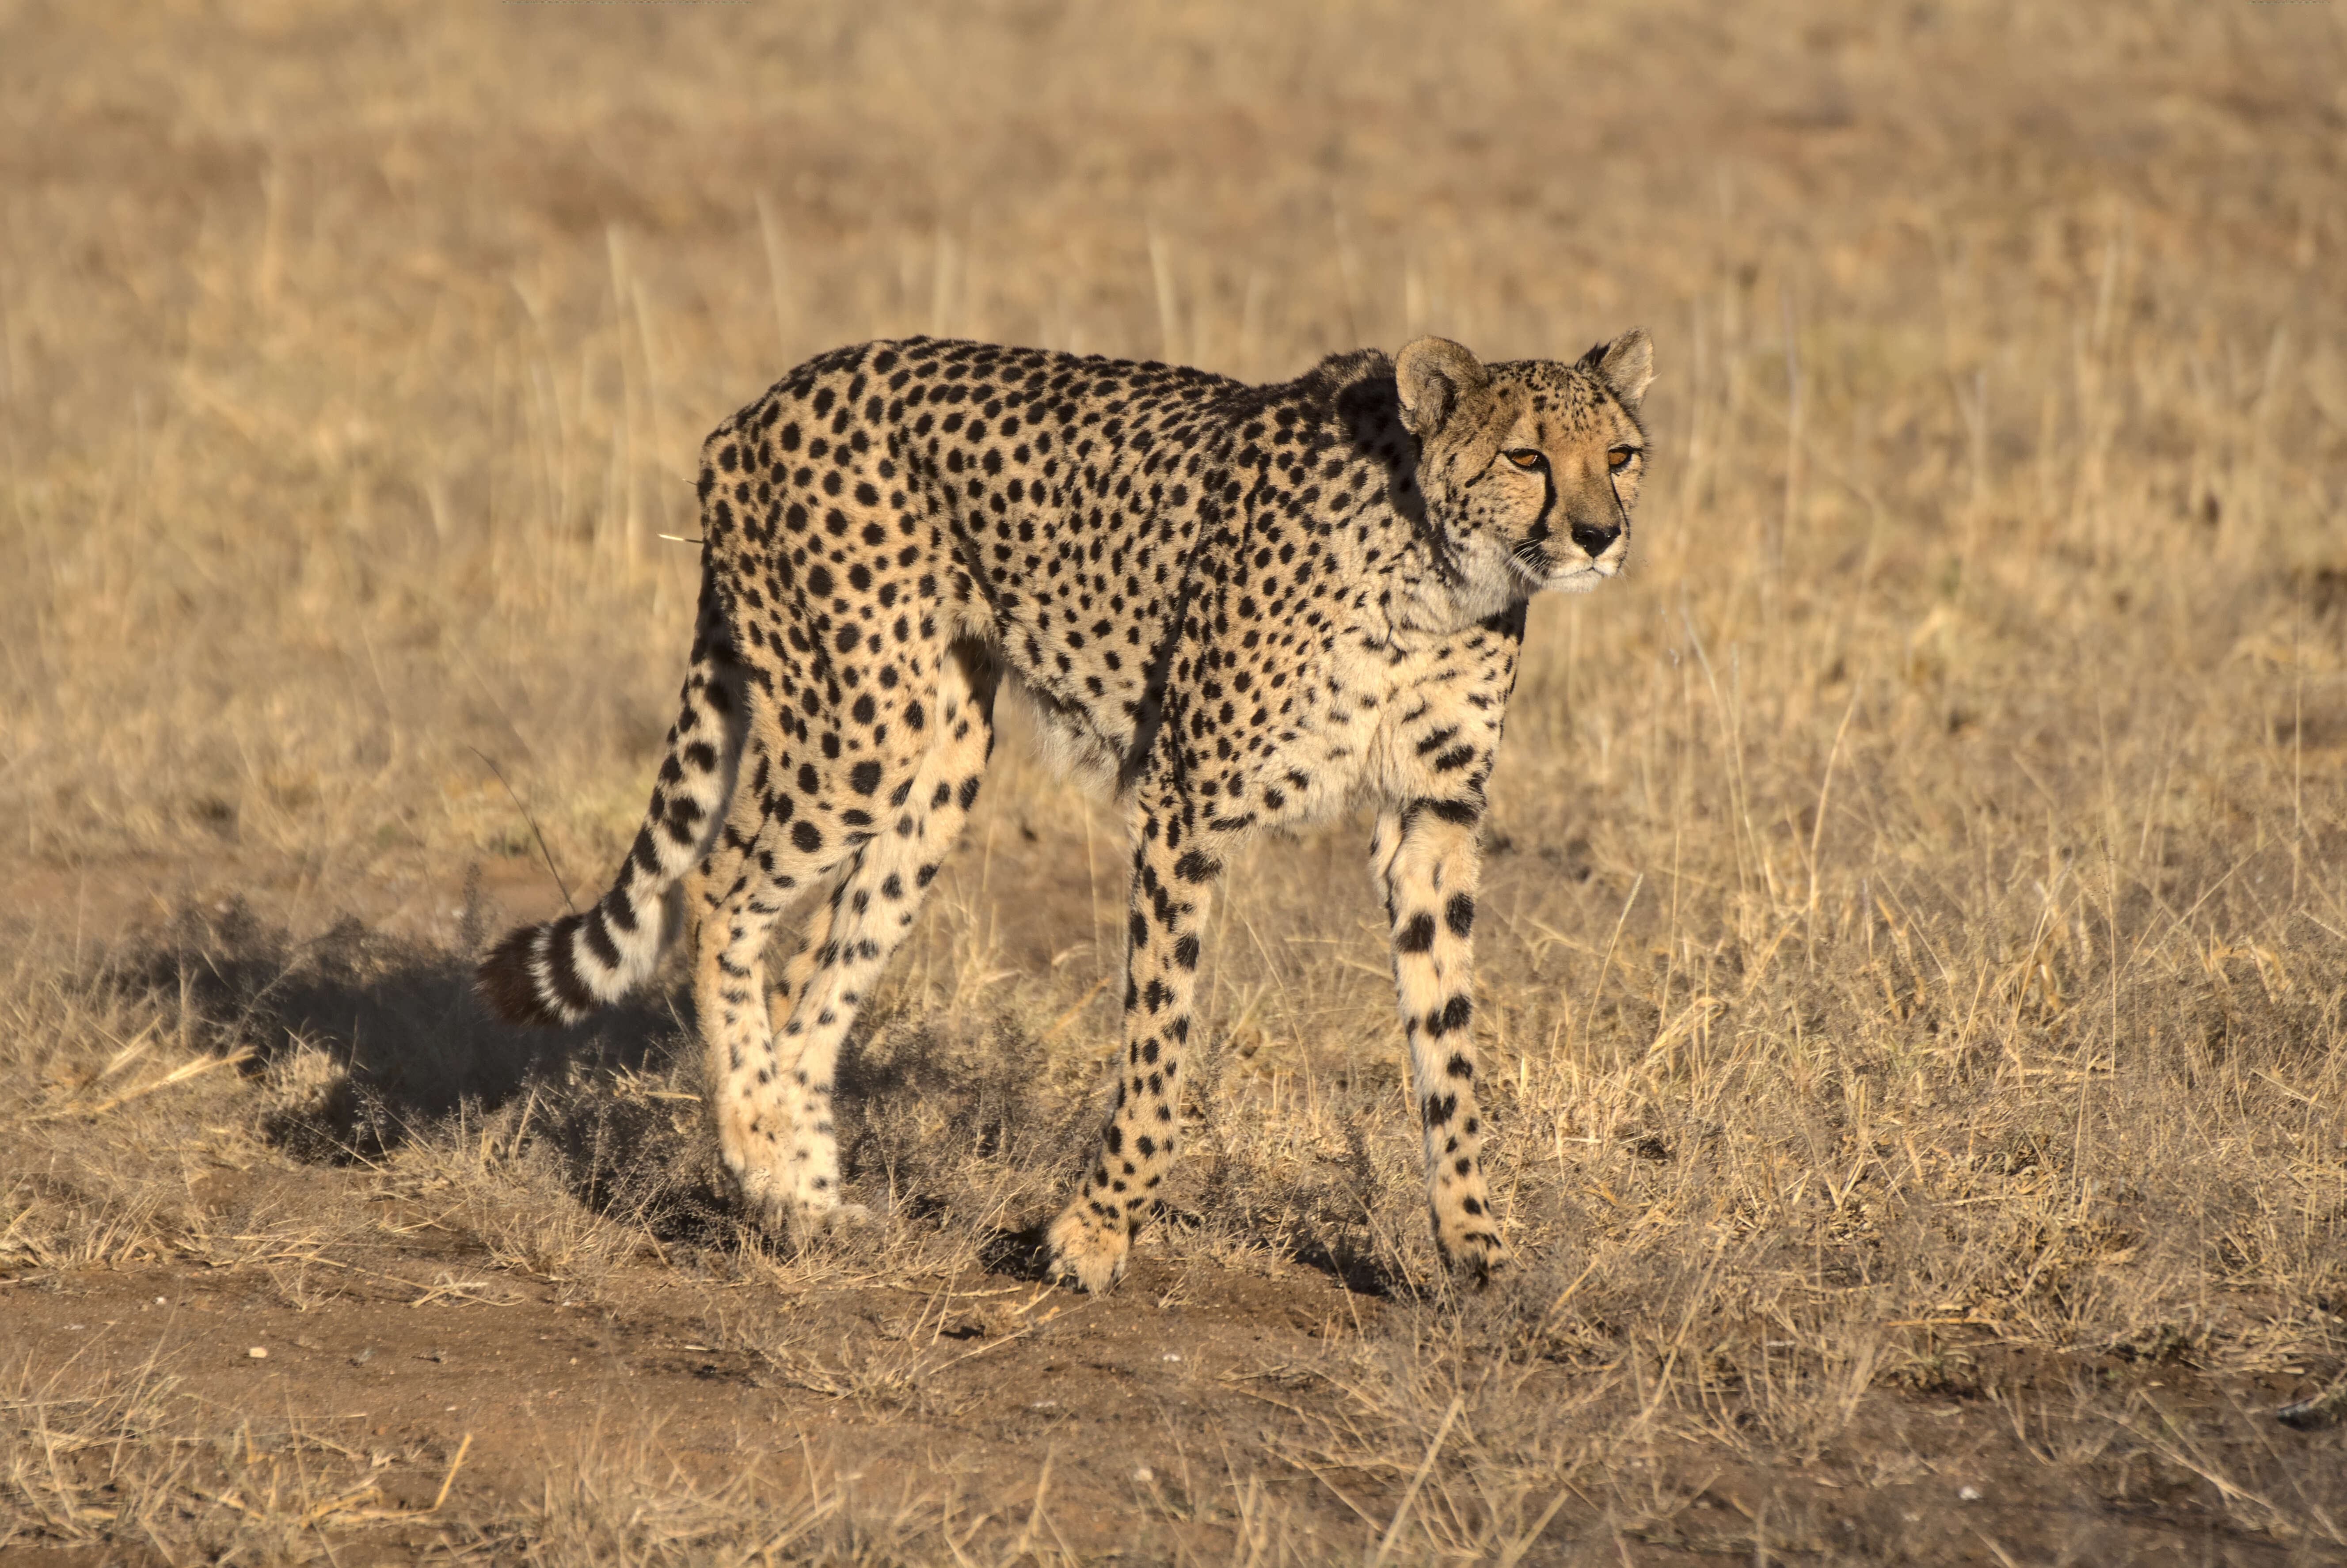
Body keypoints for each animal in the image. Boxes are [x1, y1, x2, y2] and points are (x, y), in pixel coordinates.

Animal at [476, 328, 1652, 1286]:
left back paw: (800, 1198)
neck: (1433, 570)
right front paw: (1093, 1236)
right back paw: (754, 1144)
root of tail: (769, 398)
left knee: (818, 982)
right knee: (721, 888)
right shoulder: (1184, 805)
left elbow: (1446, 1040)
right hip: (859, 726)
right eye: (1527, 457)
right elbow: (1158, 1042)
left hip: (938, 764)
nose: (1600, 535)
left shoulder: (1432, 821)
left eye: (1621, 455)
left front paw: (1473, 1243)